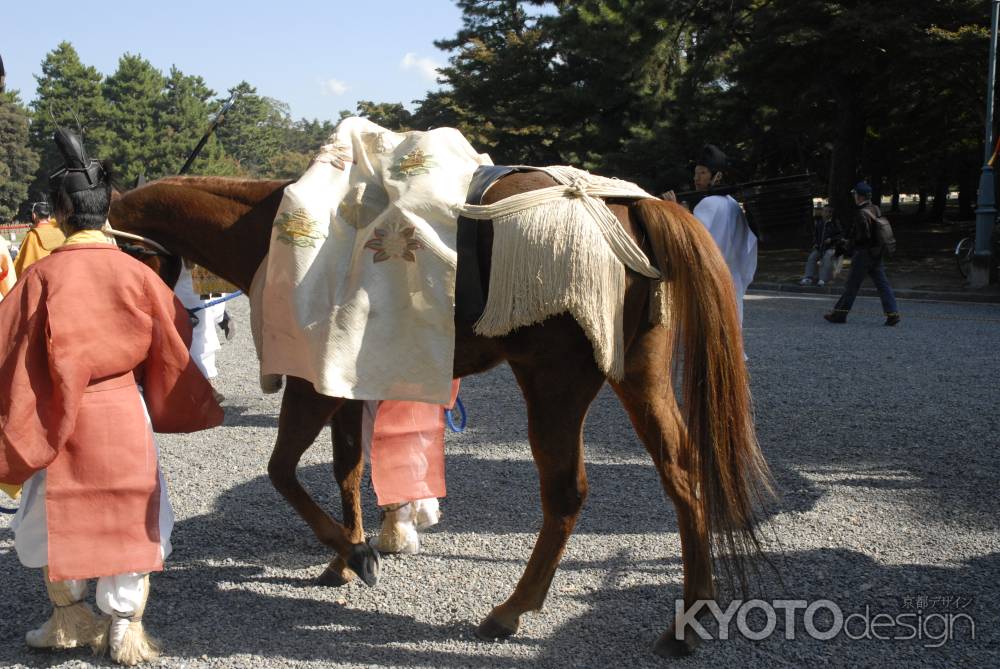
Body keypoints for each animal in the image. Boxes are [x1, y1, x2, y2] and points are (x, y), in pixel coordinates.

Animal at [108, 171, 772, 658]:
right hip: (640, 372)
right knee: (682, 475)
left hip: (553, 384)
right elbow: (347, 469)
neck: (277, 230)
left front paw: (354, 553)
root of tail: (625, 204)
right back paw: (690, 616)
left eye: (115, 249)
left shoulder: (311, 384)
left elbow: (282, 471)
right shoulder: (343, 384)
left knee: (566, 494)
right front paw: (347, 553)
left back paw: (512, 609)